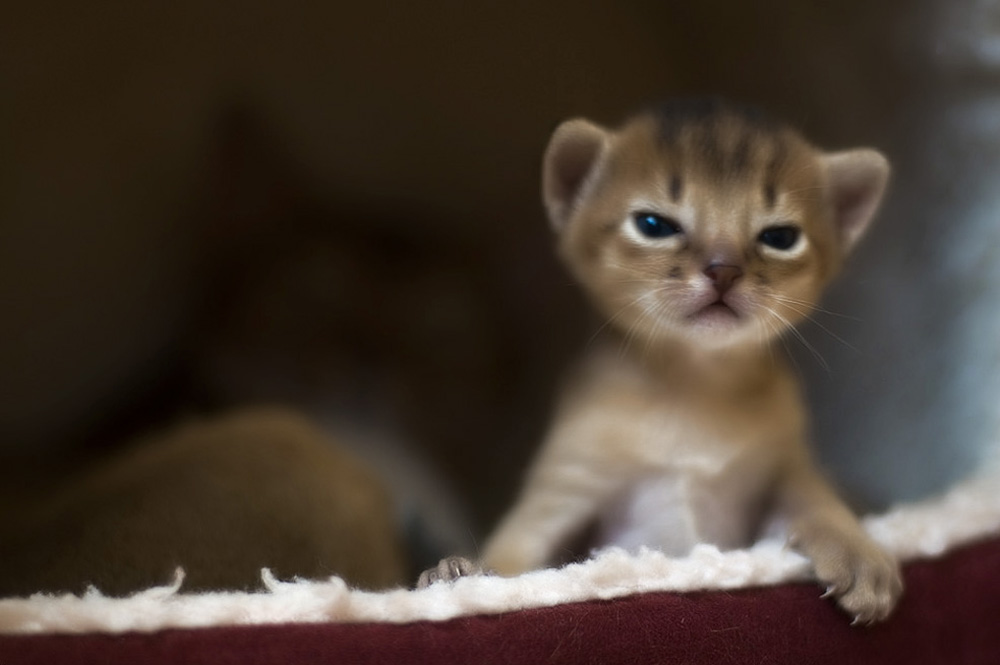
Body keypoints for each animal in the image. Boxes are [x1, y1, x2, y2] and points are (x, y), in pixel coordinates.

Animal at [418, 98, 904, 624]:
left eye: (780, 236)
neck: (695, 385)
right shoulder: (567, 487)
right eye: (654, 226)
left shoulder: (782, 466)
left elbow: (815, 496)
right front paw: (460, 576)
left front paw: (858, 552)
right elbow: (516, 555)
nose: (723, 270)